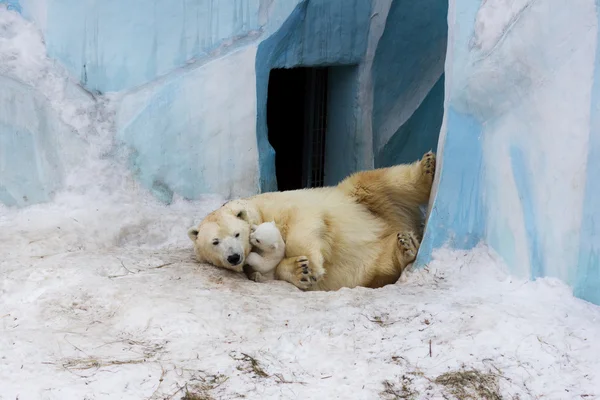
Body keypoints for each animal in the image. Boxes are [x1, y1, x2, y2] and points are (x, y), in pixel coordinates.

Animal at [188, 152, 436, 292]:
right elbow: (268, 271)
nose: (233, 257)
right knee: (382, 263)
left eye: (236, 234)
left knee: (376, 181)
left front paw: (311, 266)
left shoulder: (283, 206)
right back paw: (404, 246)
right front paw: (300, 270)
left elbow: (302, 223)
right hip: (371, 263)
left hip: (362, 199)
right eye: (215, 242)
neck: (258, 211)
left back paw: (426, 168)